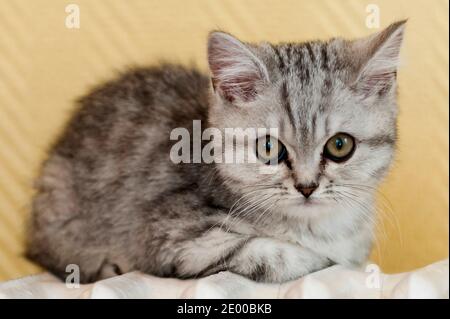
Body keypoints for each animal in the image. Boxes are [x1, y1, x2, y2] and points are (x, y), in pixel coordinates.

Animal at [27, 21, 408, 284]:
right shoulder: (175, 237)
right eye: (269, 148)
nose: (306, 186)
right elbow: (281, 258)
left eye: (339, 146)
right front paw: (319, 257)